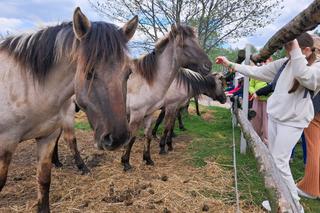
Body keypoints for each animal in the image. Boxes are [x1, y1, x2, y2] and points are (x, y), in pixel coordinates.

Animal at [0, 7, 137, 212]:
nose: (118, 138)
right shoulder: (5, 143)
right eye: (89, 72)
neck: (27, 86)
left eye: (128, 73)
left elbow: (44, 181)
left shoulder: (47, 138)